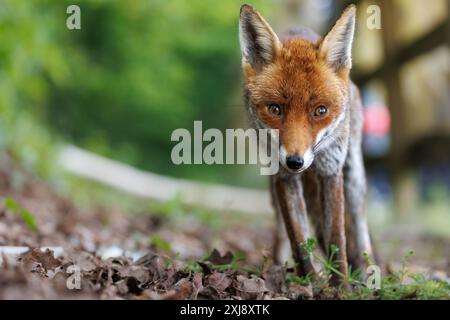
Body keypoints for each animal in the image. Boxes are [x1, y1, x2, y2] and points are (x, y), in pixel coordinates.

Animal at [239, 3, 372, 284]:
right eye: (275, 109)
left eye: (320, 111)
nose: (295, 161)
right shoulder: (282, 176)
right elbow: (298, 239)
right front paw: (310, 281)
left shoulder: (332, 170)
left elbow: (337, 239)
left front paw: (341, 286)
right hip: (273, 190)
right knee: (281, 231)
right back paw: (278, 266)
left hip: (354, 178)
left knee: (360, 233)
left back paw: (369, 275)